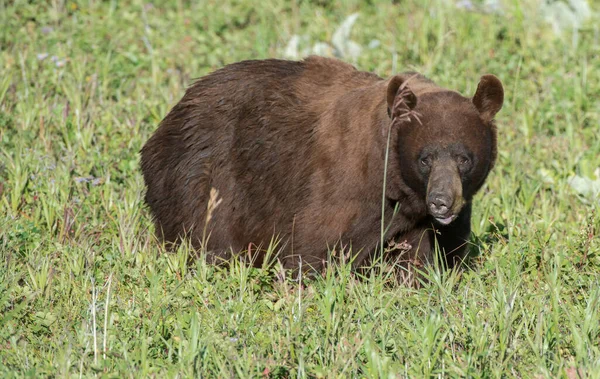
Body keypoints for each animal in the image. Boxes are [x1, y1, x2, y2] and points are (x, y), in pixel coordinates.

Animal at [141, 56, 502, 282]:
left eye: (463, 158)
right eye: (426, 158)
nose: (442, 201)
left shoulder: (424, 220)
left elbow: (424, 261)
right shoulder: (340, 188)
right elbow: (313, 251)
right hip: (198, 180)